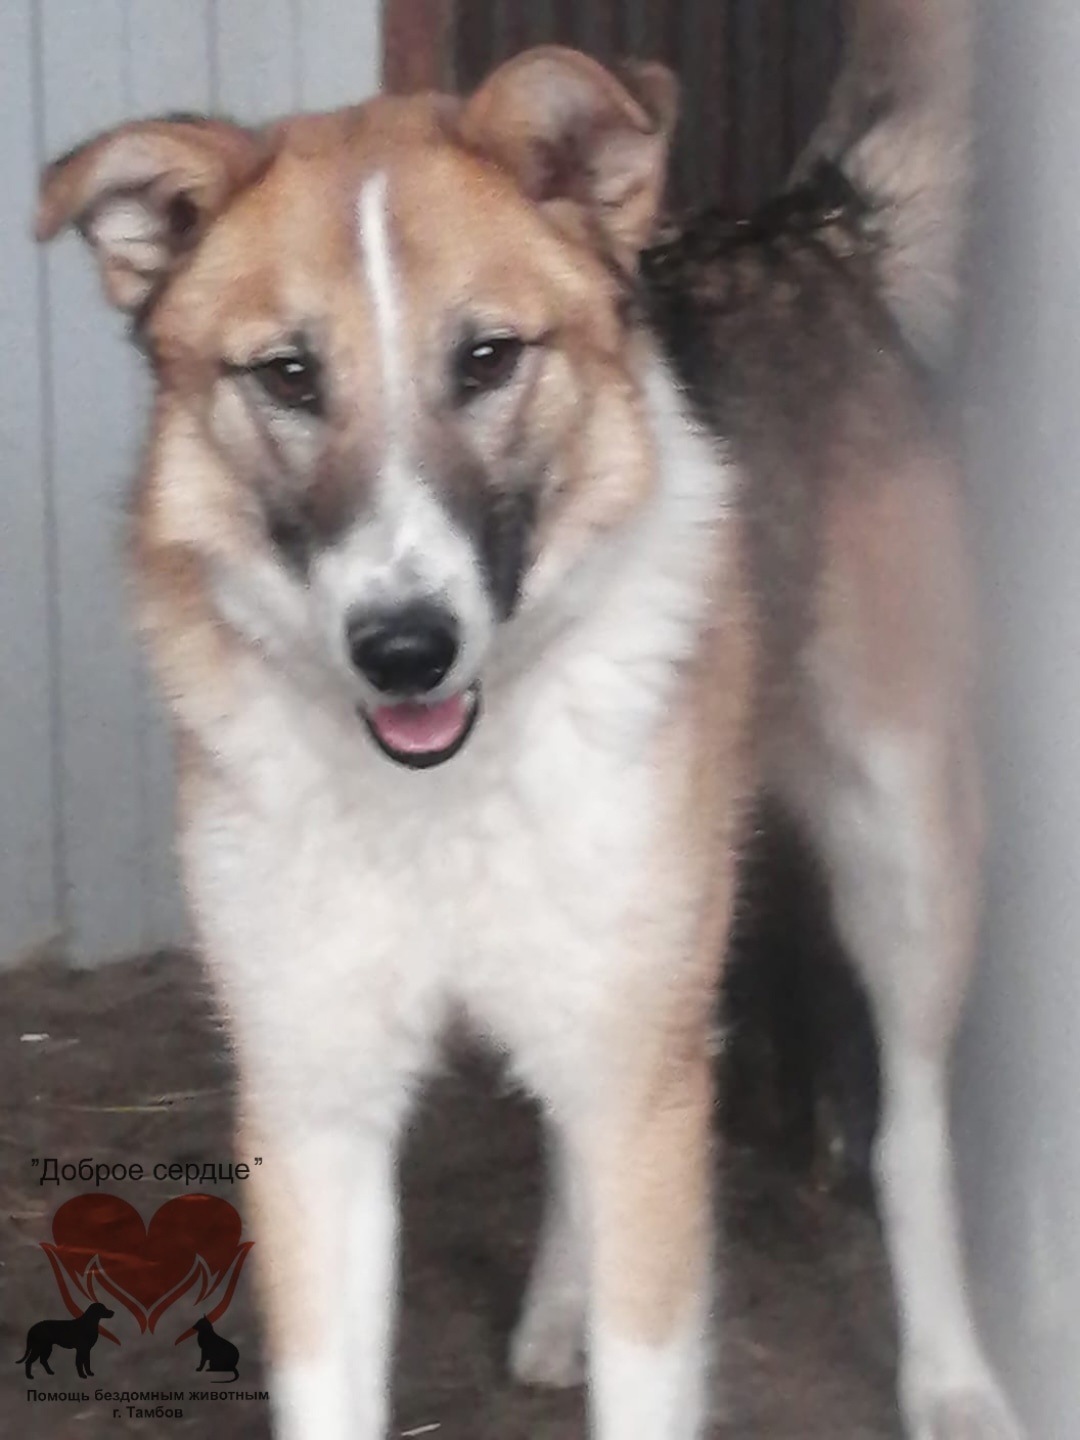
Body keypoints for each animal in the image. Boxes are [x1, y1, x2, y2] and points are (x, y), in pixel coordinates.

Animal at [35, 0, 1023, 1435]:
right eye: (289, 377)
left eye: (488, 358)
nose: (403, 649)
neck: (438, 787)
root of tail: (809, 226)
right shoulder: (314, 1106)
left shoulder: (647, 1094)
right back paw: (561, 1299)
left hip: (899, 856)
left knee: (912, 1128)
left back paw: (950, 1375)